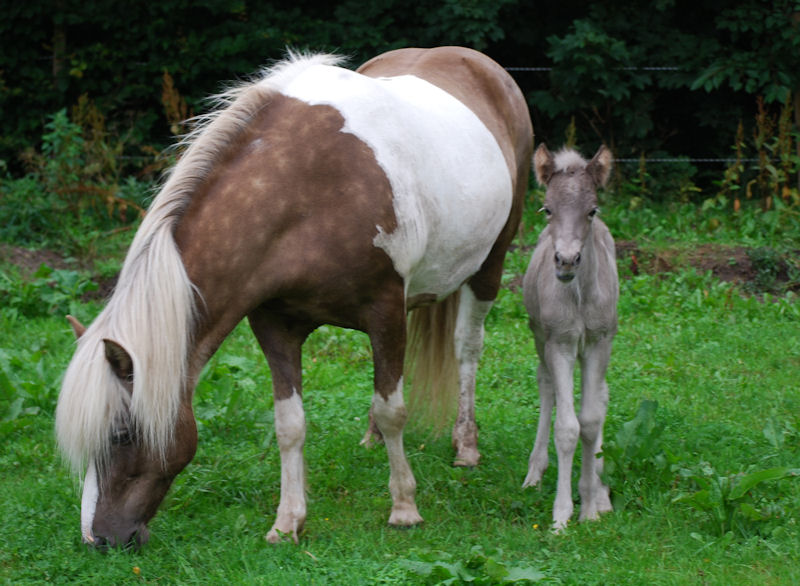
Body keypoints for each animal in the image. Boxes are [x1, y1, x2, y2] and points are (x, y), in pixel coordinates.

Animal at [54, 46, 532, 548]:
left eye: (122, 435)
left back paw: (466, 445)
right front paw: (287, 522)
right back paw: (371, 441)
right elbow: (290, 425)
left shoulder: (386, 313)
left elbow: (393, 410)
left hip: (490, 266)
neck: (303, 190)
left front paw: (404, 508)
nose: (98, 538)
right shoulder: (274, 324)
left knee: (467, 349)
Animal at [520, 144, 616, 528]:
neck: (579, 297)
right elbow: (567, 428)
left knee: (601, 396)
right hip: (538, 335)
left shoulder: (599, 342)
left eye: (592, 210)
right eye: (547, 209)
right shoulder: (559, 342)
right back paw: (534, 474)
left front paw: (591, 505)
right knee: (546, 386)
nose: (566, 261)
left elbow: (589, 421)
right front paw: (561, 516)